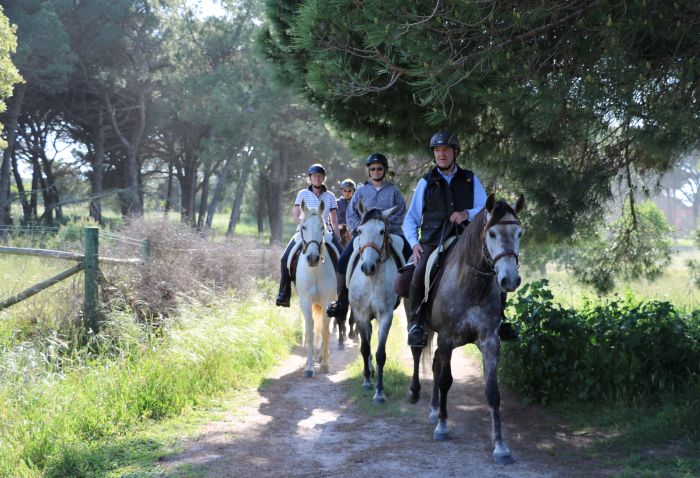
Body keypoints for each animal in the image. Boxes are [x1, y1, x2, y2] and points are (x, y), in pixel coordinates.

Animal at [348, 202, 402, 404]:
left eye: (381, 231)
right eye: (360, 230)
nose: (367, 267)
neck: (372, 280)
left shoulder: (385, 316)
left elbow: (380, 354)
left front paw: (379, 392)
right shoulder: (360, 315)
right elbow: (364, 348)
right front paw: (367, 381)